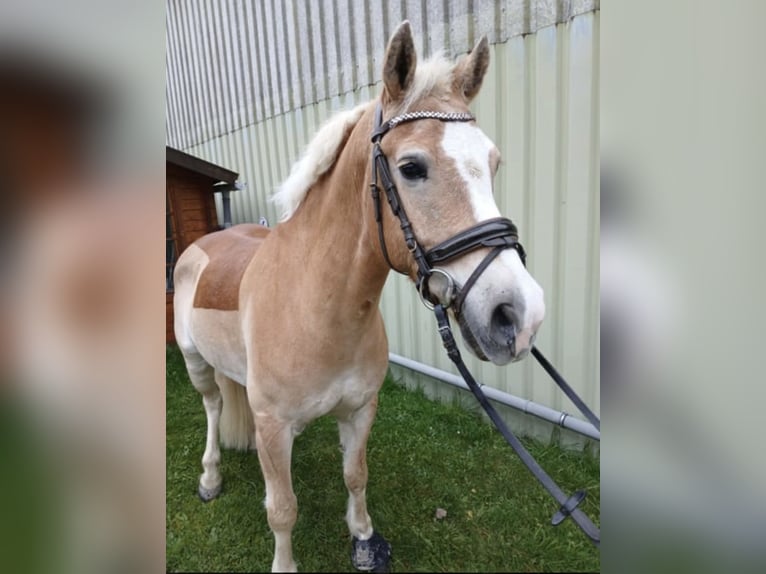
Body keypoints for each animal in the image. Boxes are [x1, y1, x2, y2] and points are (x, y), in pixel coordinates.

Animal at [174, 20, 544, 572]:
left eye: (494, 163)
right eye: (411, 167)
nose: (518, 316)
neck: (318, 310)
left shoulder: (359, 411)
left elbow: (355, 476)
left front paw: (364, 537)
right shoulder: (274, 426)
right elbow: (282, 508)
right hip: (195, 363)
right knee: (215, 409)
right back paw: (210, 476)